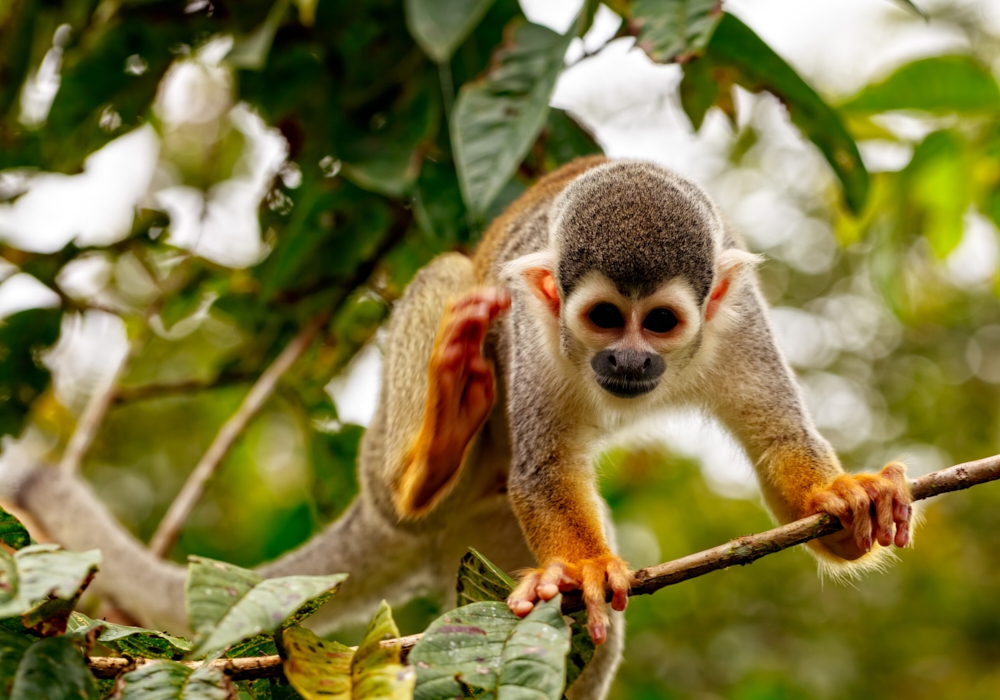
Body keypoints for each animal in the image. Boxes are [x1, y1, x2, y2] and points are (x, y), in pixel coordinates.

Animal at [0, 157, 912, 700]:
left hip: (483, 530)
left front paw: (846, 502)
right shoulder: (532, 326)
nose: (626, 361)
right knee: (447, 282)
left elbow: (781, 450)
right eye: (603, 317)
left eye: (658, 322)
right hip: (415, 454)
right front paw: (583, 571)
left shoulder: (739, 316)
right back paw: (436, 442)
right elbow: (543, 471)